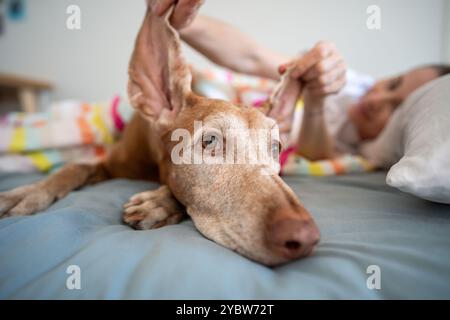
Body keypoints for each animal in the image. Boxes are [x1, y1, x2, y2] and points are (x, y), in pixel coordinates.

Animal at [0, 5, 320, 266]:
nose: (305, 237)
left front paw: (158, 204)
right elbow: (73, 167)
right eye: (209, 141)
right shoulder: (108, 162)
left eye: (276, 147)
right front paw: (27, 193)